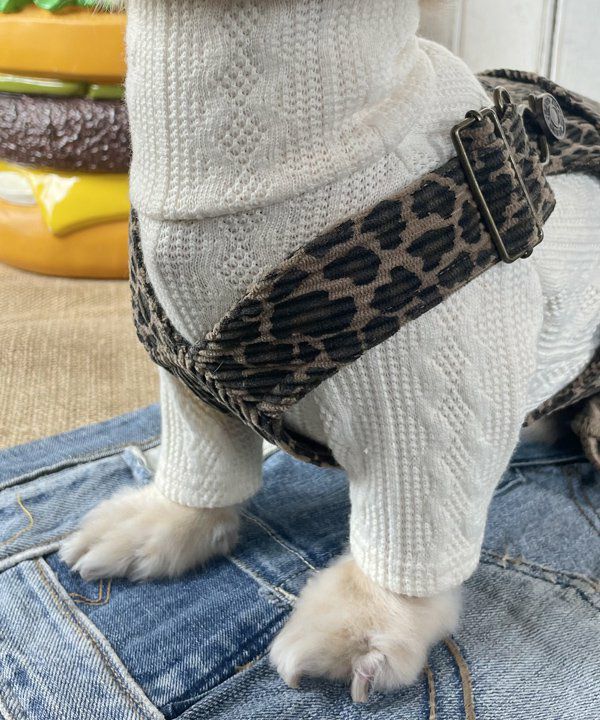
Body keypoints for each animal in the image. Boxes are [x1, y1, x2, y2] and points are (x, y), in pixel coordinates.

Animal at [61, 0, 600, 701]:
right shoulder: (189, 385)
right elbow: (204, 465)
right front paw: (163, 520)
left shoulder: (434, 417)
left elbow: (408, 537)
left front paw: (365, 622)